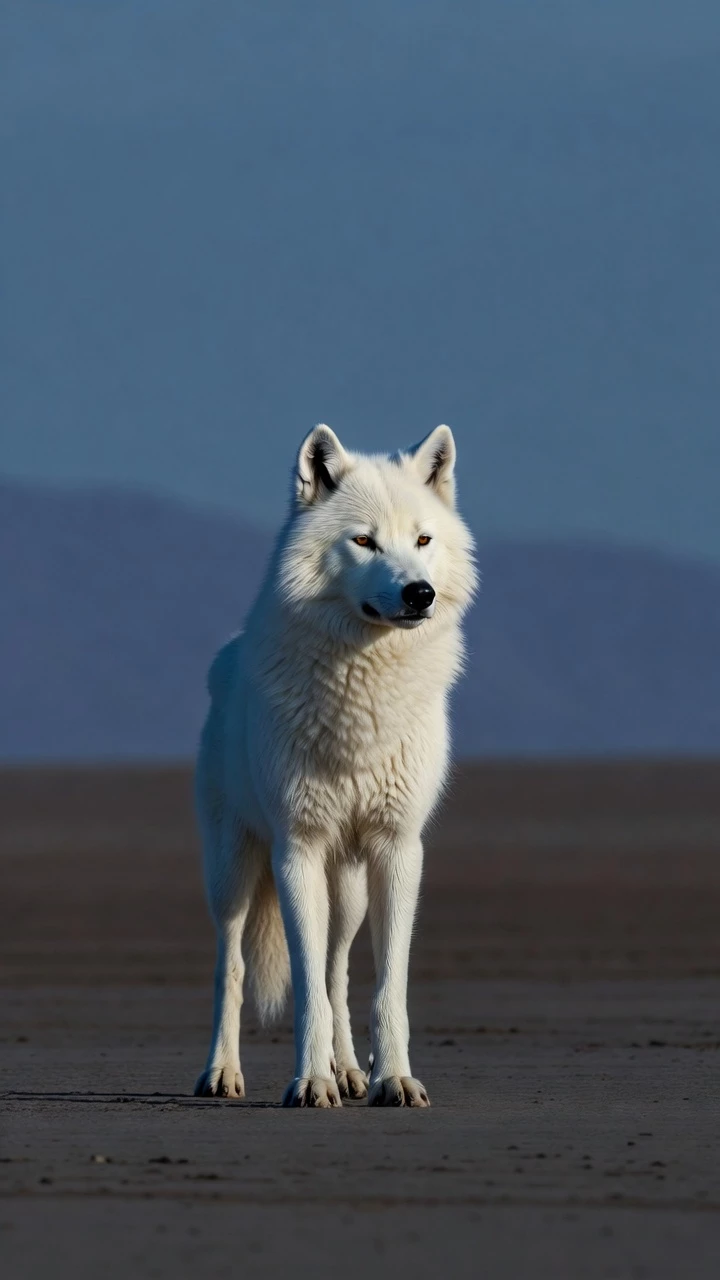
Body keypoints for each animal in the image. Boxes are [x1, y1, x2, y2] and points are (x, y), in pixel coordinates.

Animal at [194, 424, 477, 1106]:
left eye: (423, 540)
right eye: (364, 541)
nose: (419, 593)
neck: (365, 695)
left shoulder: (398, 847)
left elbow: (383, 987)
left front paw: (390, 1078)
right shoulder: (296, 848)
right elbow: (304, 994)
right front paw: (310, 1081)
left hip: (346, 887)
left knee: (337, 965)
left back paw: (351, 1069)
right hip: (233, 870)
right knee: (232, 966)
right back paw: (222, 1073)